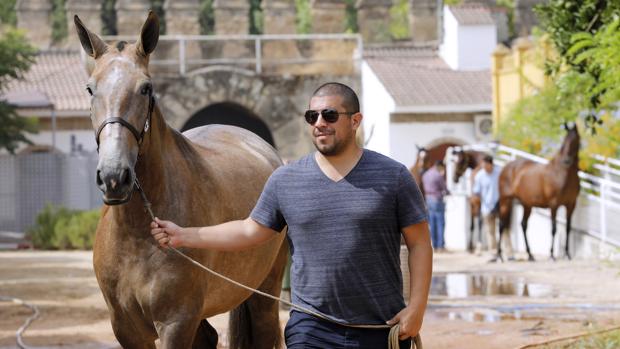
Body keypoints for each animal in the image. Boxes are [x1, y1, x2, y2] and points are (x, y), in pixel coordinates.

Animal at [76, 11, 290, 348]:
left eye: (146, 88)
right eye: (90, 89)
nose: (113, 176)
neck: (137, 234)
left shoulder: (176, 322)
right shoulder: (125, 328)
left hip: (264, 294)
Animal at [496, 123, 580, 260]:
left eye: (575, 140)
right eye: (565, 140)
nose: (567, 160)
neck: (563, 173)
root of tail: (506, 167)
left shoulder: (571, 204)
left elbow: (568, 228)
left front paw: (567, 254)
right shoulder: (554, 204)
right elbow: (554, 228)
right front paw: (551, 255)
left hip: (527, 204)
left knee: (523, 224)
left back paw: (530, 255)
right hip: (505, 200)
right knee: (502, 224)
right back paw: (498, 255)